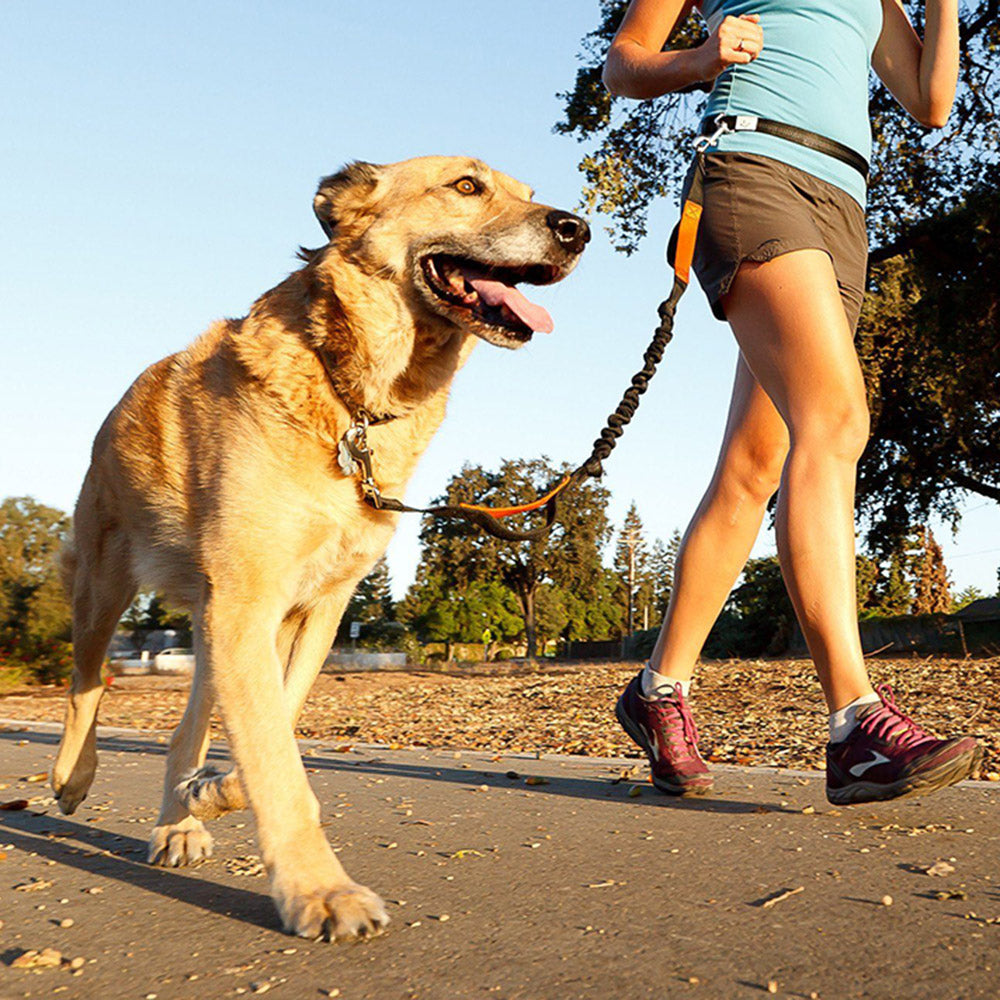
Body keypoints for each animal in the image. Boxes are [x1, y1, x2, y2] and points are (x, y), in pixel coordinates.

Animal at [52, 154, 584, 936]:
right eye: (467, 186)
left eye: (528, 192)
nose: (578, 229)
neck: (353, 403)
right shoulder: (248, 606)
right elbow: (276, 761)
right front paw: (318, 889)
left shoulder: (312, 609)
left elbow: (277, 723)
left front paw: (212, 793)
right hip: (104, 590)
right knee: (85, 684)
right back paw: (71, 776)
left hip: (217, 627)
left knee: (185, 727)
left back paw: (179, 821)